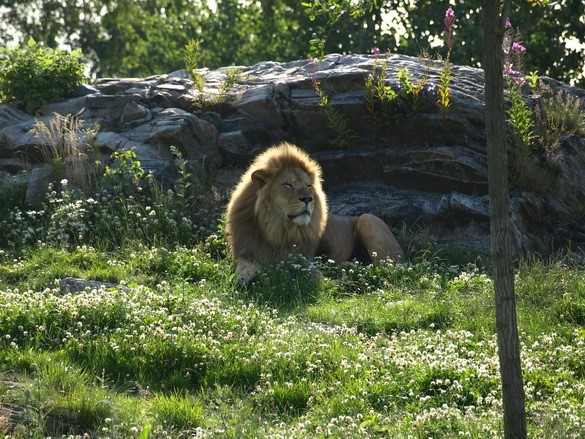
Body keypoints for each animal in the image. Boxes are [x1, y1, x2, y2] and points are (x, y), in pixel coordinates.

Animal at [226, 143, 404, 284]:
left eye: (308, 185)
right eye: (288, 185)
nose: (308, 198)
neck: (274, 228)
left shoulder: (301, 258)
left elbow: (312, 273)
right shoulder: (248, 252)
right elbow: (243, 268)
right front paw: (240, 281)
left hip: (369, 220)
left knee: (386, 269)